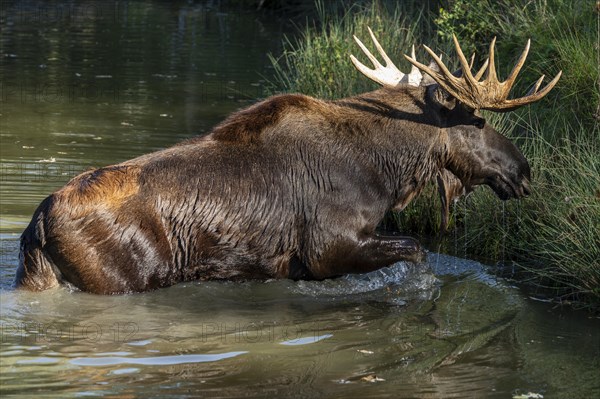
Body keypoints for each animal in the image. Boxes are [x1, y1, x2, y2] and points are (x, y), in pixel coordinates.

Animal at [16, 30, 560, 294]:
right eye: (477, 121)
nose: (524, 171)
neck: (387, 171)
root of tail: (36, 226)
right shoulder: (327, 247)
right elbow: (417, 251)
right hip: (119, 279)